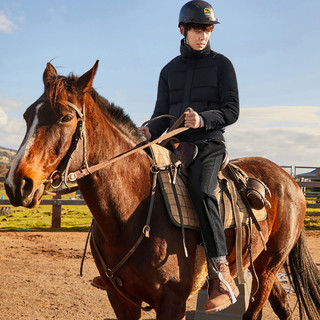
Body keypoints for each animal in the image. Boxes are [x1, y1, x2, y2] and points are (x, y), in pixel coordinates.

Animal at [5, 60, 320, 320]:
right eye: (26, 115)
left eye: (65, 118)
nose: (17, 184)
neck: (133, 212)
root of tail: (289, 180)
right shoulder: (121, 301)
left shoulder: (172, 302)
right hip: (261, 264)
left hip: (269, 268)